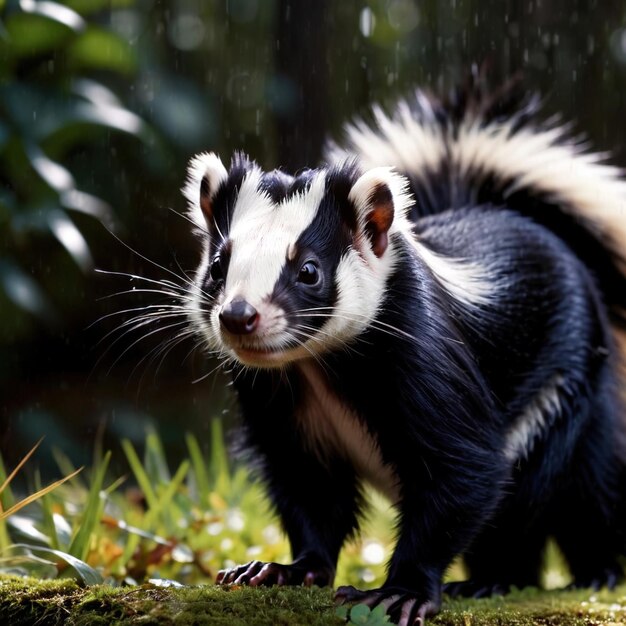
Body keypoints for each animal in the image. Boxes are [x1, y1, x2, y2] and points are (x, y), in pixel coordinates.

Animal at [183, 84, 624, 624]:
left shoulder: (422, 357)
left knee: (574, 489)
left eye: (308, 270)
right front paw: (285, 569)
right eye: (218, 265)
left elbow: (464, 471)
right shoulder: (276, 396)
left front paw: (402, 592)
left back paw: (550, 575)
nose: (238, 316)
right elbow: (308, 482)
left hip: (574, 385)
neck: (318, 364)